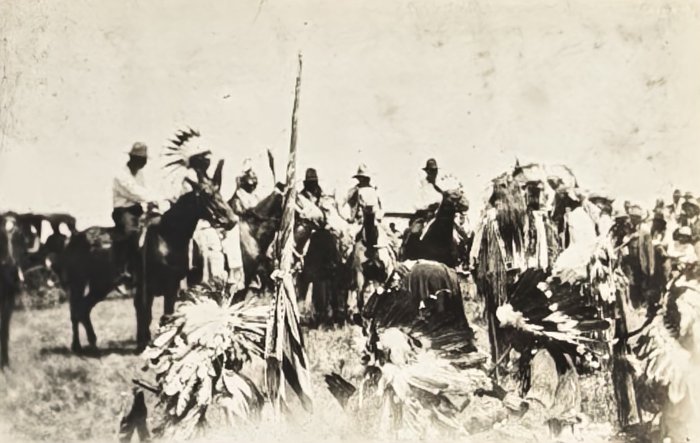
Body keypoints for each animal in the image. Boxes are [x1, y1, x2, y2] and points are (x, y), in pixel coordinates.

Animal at [64, 173, 236, 353]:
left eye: (219, 192)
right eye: (208, 195)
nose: (232, 220)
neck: (167, 237)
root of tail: (75, 236)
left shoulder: (168, 287)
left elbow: (160, 315)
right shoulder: (153, 287)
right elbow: (150, 315)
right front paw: (147, 344)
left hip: (100, 285)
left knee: (83, 309)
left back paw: (92, 344)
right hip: (78, 283)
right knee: (76, 311)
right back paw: (77, 346)